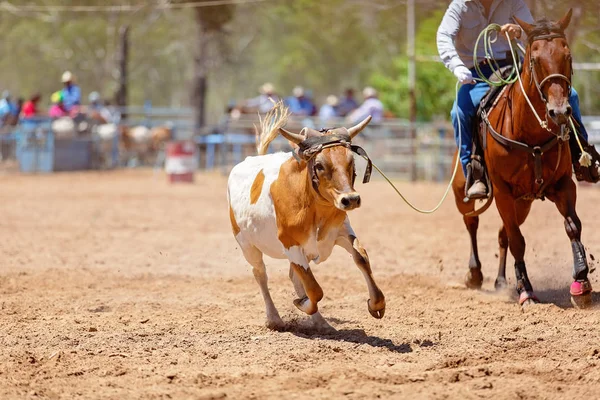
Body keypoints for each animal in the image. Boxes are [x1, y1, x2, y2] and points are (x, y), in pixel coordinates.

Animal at [227, 104, 386, 330]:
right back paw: (274, 318)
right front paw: (302, 303)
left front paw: (376, 304)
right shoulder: (291, 245)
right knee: (260, 274)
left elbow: (361, 257)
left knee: (294, 276)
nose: (351, 199)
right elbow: (314, 290)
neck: (314, 208)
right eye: (319, 165)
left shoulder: (341, 231)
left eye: (351, 161)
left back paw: (320, 322)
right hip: (247, 244)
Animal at [452, 10, 592, 306]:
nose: (559, 112)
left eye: (567, 54)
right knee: (472, 222)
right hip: (463, 192)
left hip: (523, 203)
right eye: (534, 59)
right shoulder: (503, 192)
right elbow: (518, 240)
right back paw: (475, 274)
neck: (529, 134)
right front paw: (526, 289)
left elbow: (572, 226)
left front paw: (581, 282)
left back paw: (501, 280)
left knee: (502, 234)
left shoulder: (563, 184)